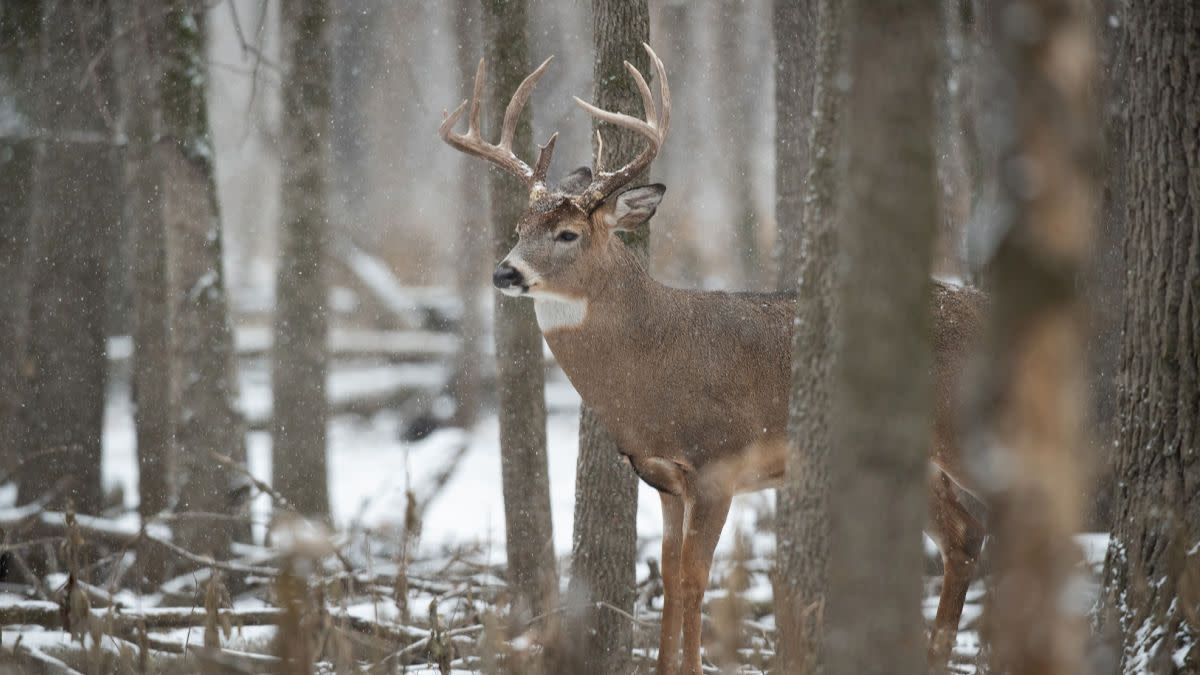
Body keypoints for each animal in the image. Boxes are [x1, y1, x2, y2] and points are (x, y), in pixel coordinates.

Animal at [441, 43, 984, 672]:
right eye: (519, 225)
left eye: (568, 233)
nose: (505, 272)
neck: (655, 365)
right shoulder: (663, 477)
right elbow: (669, 577)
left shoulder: (719, 465)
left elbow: (697, 579)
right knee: (964, 537)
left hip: (962, 432)